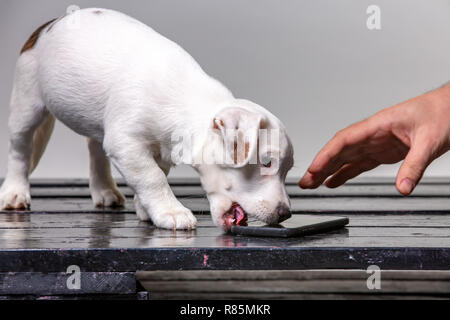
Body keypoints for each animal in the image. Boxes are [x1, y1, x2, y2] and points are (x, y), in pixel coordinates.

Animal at [0, 8, 294, 231]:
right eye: (266, 163)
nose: (286, 214)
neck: (186, 102)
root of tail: (48, 25)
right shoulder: (126, 144)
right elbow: (153, 177)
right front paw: (171, 211)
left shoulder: (159, 147)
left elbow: (156, 172)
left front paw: (146, 208)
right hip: (26, 104)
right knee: (20, 151)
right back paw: (14, 192)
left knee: (95, 149)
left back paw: (104, 190)